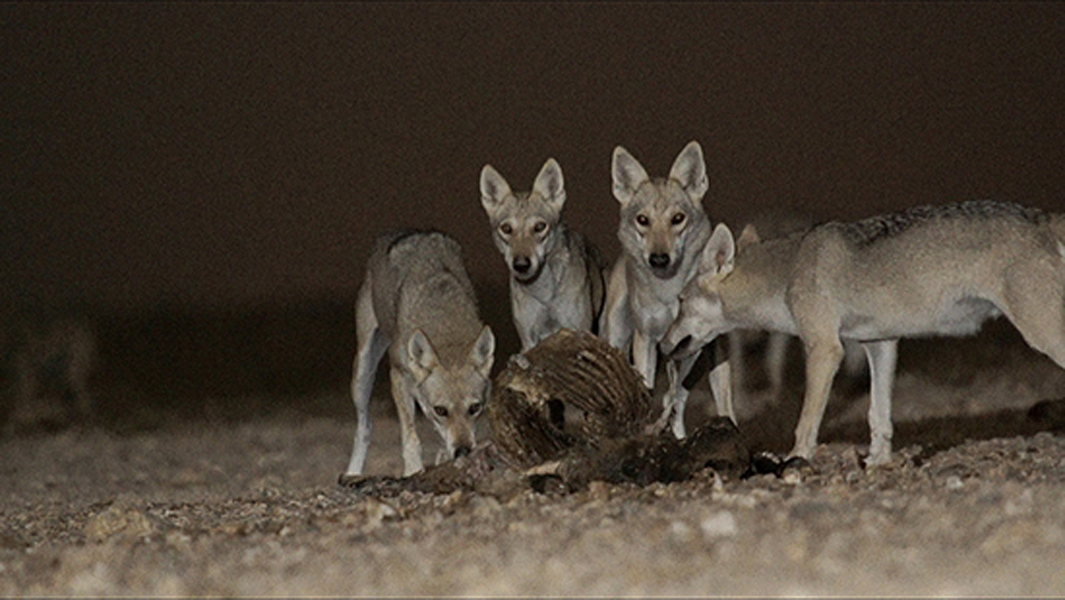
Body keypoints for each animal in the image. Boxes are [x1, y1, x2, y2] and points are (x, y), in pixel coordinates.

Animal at [342, 231, 496, 479]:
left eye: (474, 408)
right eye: (441, 410)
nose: (463, 451)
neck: (444, 320)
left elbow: (442, 436)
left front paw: (445, 458)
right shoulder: (398, 377)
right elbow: (411, 438)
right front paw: (413, 471)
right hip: (362, 376)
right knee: (364, 427)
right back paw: (353, 473)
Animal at [483, 157, 609, 351]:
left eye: (540, 227)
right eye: (506, 229)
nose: (521, 265)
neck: (544, 294)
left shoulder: (577, 332)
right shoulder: (528, 340)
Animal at [604, 142, 736, 439]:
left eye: (677, 219)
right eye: (643, 220)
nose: (659, 259)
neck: (668, 289)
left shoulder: (690, 345)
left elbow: (673, 396)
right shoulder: (646, 339)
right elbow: (648, 392)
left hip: (715, 359)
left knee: (707, 400)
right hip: (616, 337)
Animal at [660, 199, 1065, 466]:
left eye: (679, 301)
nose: (662, 345)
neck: (787, 273)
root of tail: (1042, 218)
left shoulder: (825, 350)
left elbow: (806, 420)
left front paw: (797, 459)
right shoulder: (879, 344)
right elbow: (878, 416)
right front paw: (878, 462)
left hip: (1042, 335)